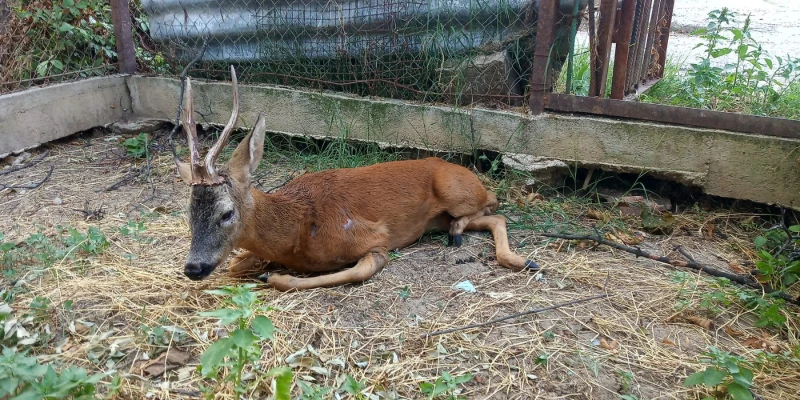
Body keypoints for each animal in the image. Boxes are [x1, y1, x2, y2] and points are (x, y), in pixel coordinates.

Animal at [174, 65, 536, 290]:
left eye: (226, 213)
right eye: (188, 214)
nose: (193, 268)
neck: (298, 228)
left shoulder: (374, 237)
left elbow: (357, 270)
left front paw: (272, 278)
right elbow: (235, 264)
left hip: (454, 190)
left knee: (494, 205)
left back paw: (516, 257)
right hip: (442, 214)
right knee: (491, 215)